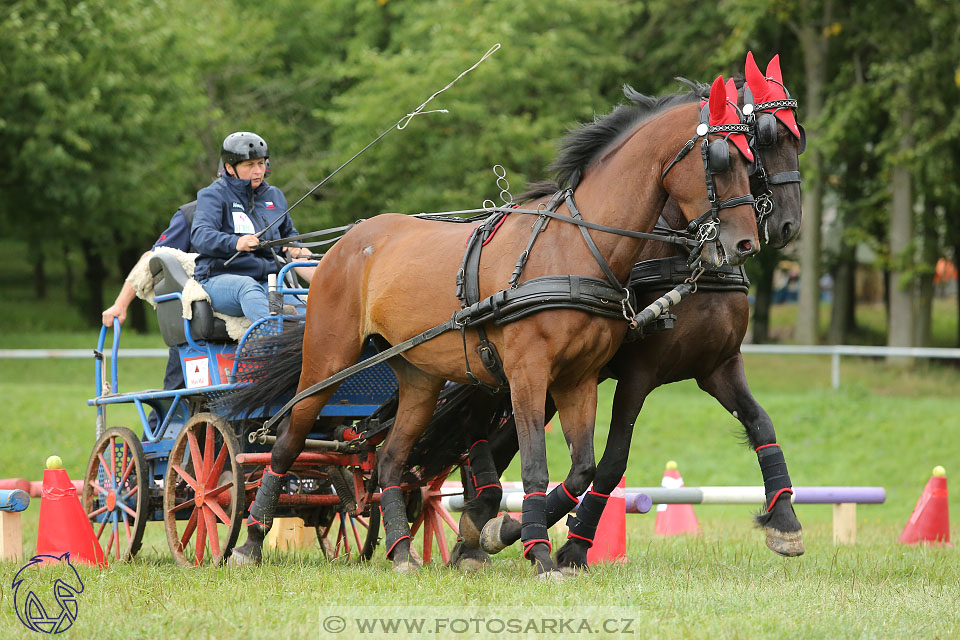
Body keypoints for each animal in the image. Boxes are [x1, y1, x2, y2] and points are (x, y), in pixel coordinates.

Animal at [229, 74, 760, 576]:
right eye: (720, 160)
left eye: (751, 156)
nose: (745, 246)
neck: (575, 247)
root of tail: (350, 238)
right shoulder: (527, 374)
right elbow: (535, 468)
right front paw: (538, 554)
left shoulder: (579, 379)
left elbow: (582, 470)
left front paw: (497, 532)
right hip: (328, 359)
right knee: (286, 444)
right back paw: (249, 542)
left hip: (419, 377)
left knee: (389, 460)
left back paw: (401, 552)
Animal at [458, 53, 808, 568]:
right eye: (761, 137)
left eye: (795, 136)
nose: (786, 224)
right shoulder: (638, 373)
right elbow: (612, 461)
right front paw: (572, 546)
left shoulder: (718, 365)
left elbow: (760, 421)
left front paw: (784, 520)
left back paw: (474, 528)